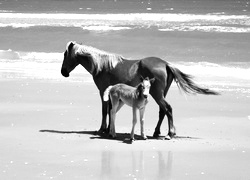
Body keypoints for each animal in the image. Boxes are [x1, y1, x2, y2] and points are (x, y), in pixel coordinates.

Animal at [61, 41, 219, 139]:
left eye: (64, 54)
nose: (63, 72)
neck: (103, 66)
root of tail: (165, 64)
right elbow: (111, 111)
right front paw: (109, 130)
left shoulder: (102, 92)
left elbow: (104, 110)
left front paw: (102, 129)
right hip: (161, 94)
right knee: (163, 111)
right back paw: (156, 132)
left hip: (157, 94)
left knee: (168, 109)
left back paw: (170, 133)